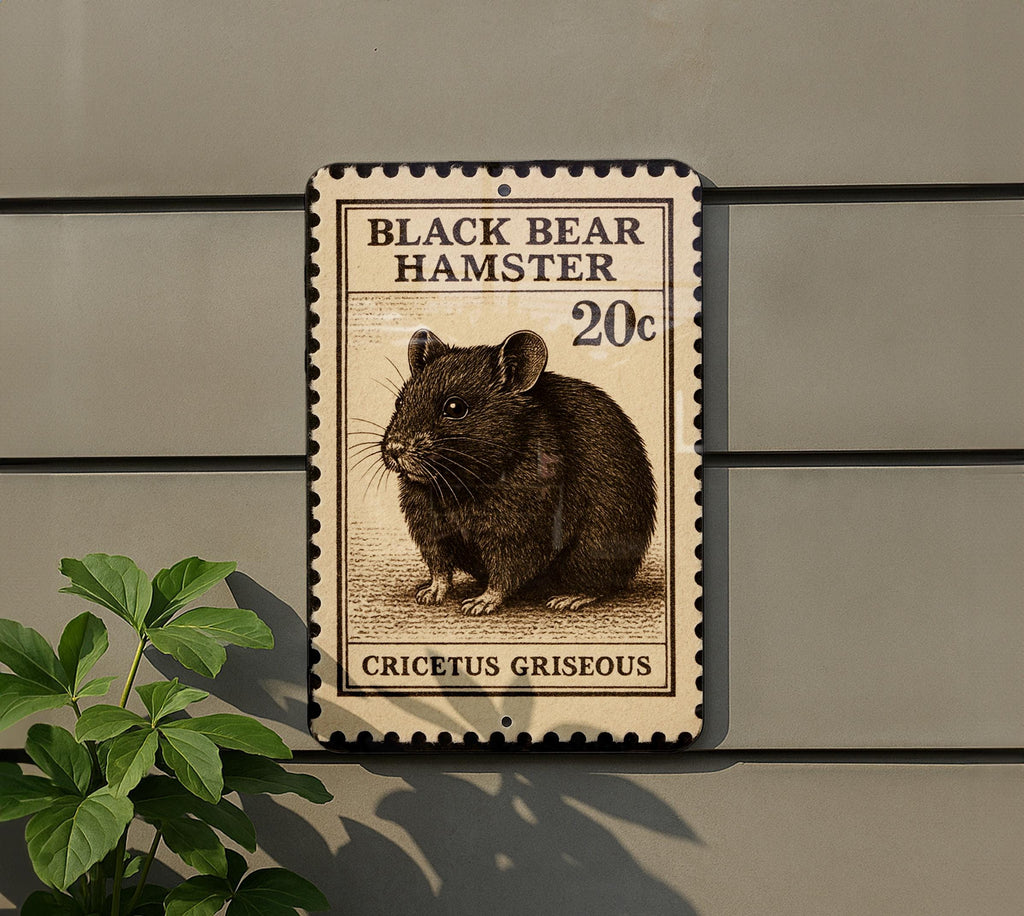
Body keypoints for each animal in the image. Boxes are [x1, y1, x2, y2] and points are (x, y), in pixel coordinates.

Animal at [380, 328, 657, 616]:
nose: (394, 449)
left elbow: (505, 573)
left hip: (594, 550)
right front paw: (430, 593)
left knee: (600, 584)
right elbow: (439, 567)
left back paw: (569, 598)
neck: (457, 485)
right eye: (399, 401)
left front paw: (480, 603)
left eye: (455, 408)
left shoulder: (519, 531)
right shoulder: (429, 527)